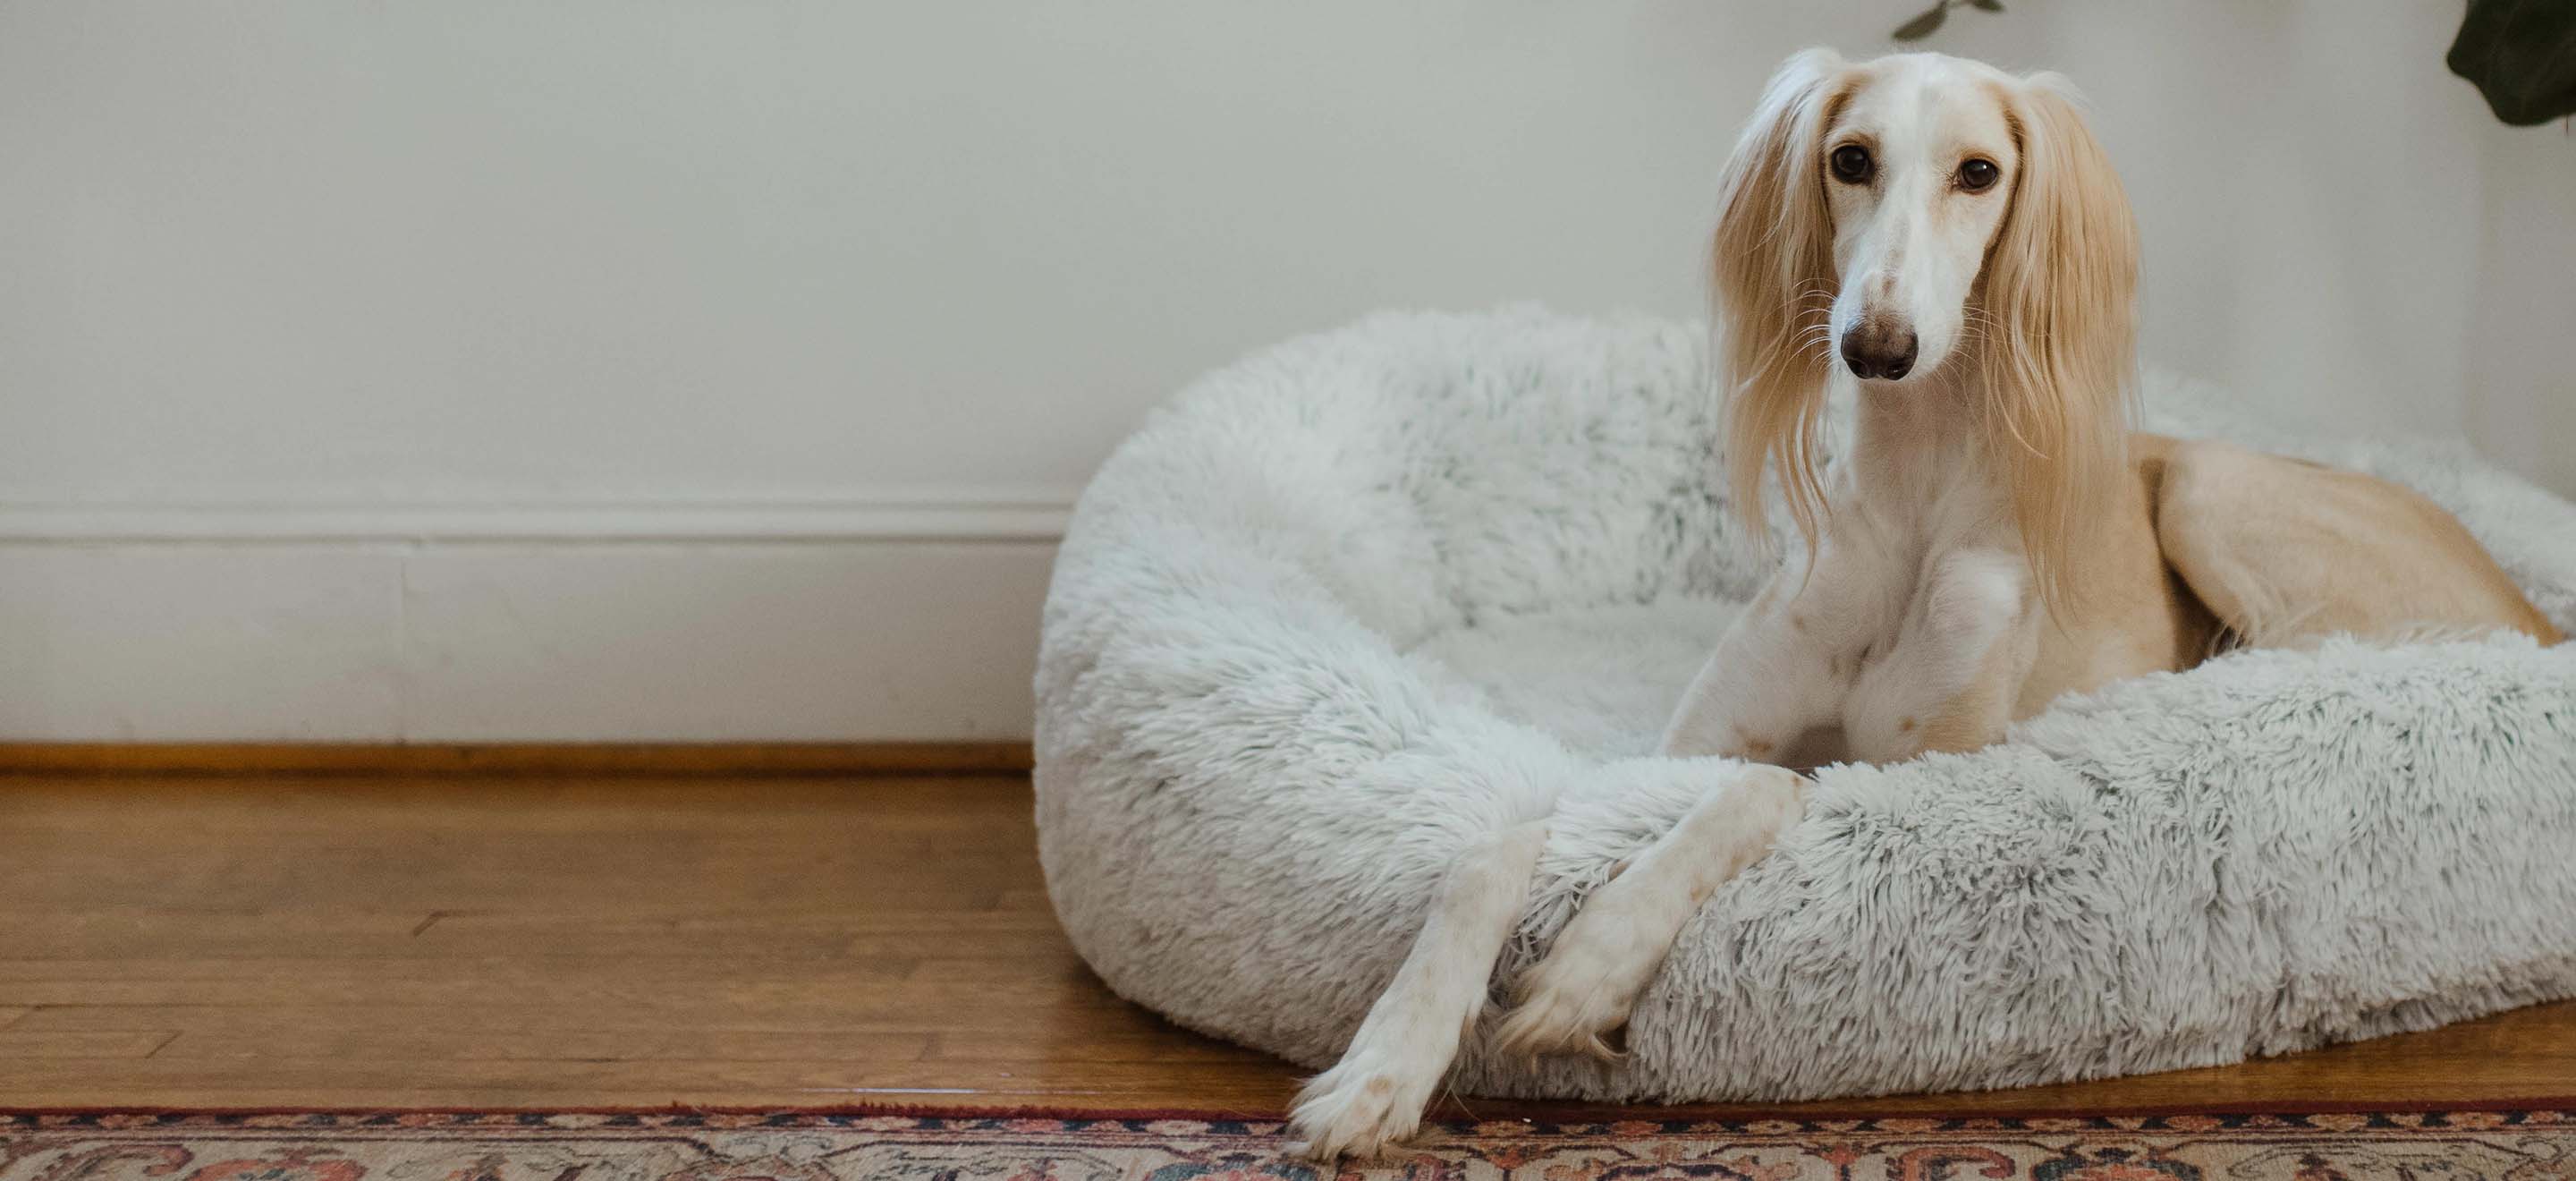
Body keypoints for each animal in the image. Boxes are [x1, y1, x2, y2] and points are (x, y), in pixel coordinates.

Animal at [1288, 50, 2555, 1160]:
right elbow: (1496, 845)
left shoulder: (1925, 776)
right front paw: (1384, 1066)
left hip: (2213, 490)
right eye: (1850, 158)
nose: (1878, 345)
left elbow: (1766, 790)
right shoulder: (1672, 750)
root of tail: (2536, 610)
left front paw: (1592, 965)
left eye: (1978, 172)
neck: (1912, 507)